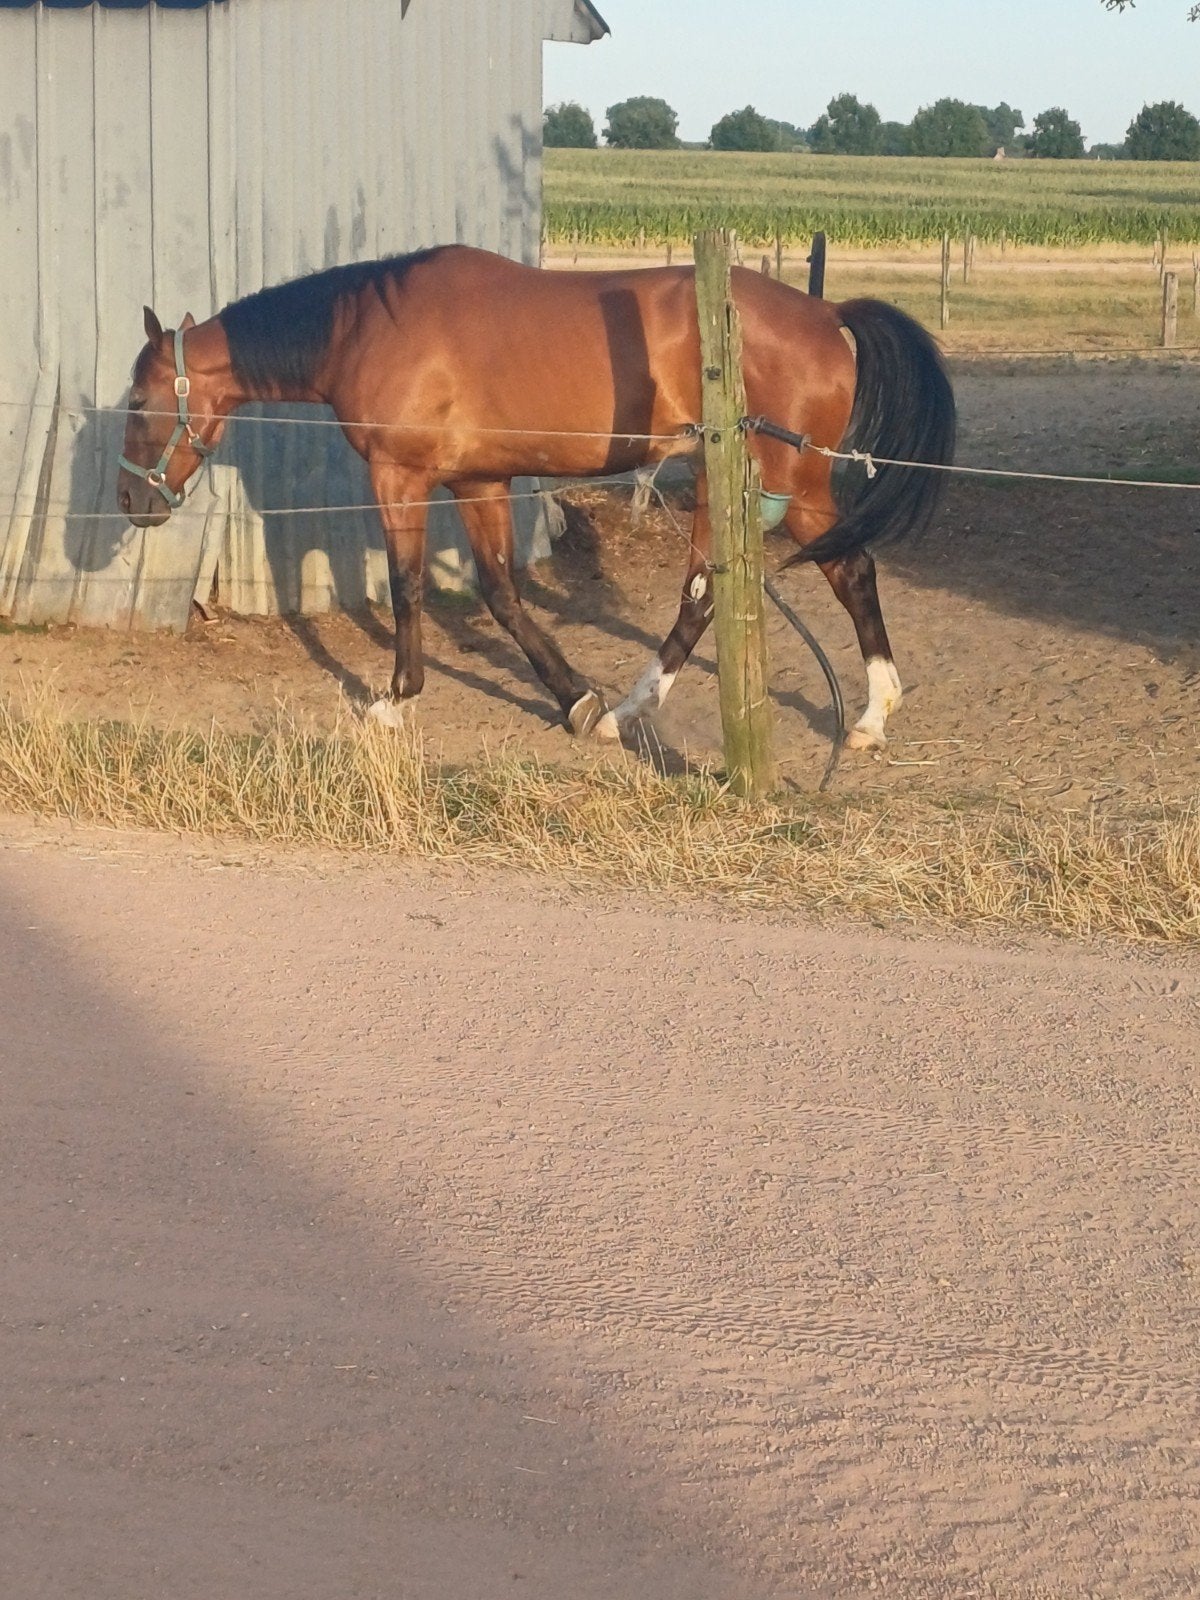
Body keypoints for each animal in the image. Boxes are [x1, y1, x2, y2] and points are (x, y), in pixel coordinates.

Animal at [117, 245, 955, 749]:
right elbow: (501, 593)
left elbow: (409, 587)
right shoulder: (478, 481)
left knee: (742, 588)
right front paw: (572, 696)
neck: (365, 329)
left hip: (768, 486)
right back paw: (866, 716)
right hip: (769, 492)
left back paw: (644, 712)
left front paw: (395, 697)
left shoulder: (400, 478)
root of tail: (826, 314)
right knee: (831, 574)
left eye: (137, 401)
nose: (132, 502)